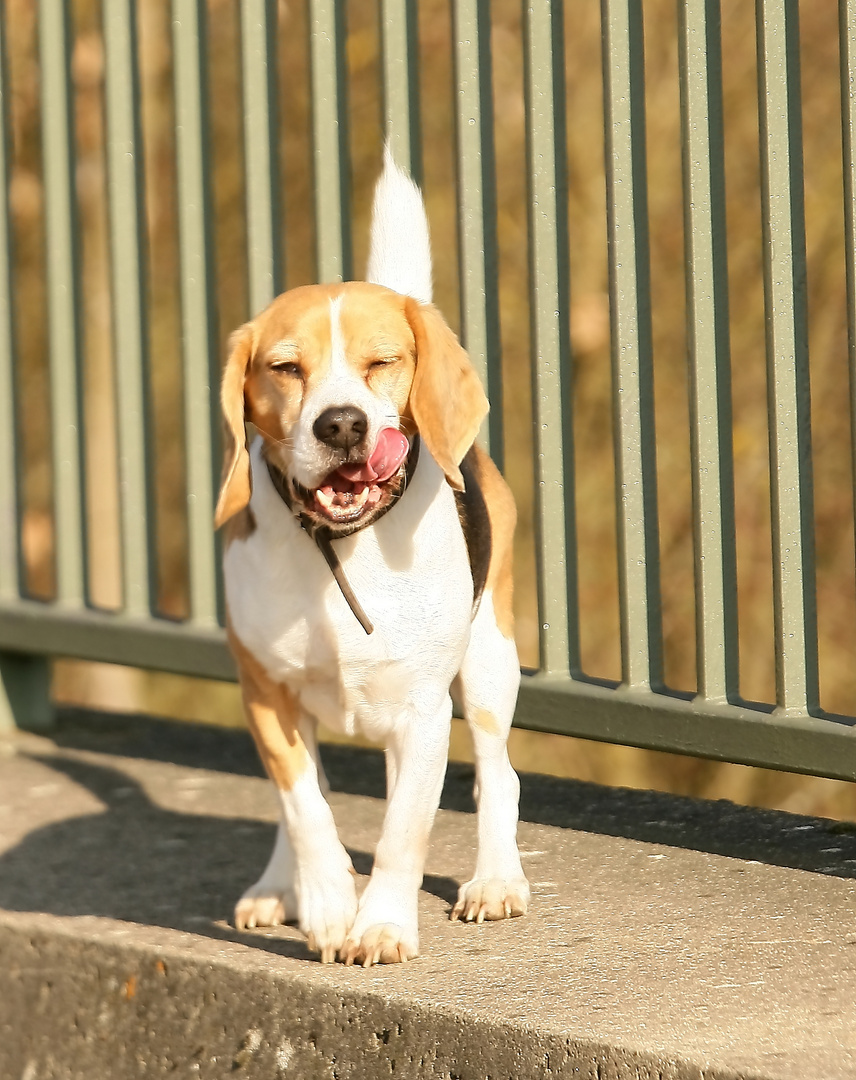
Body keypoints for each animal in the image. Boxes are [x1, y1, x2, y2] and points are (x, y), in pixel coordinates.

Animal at [215, 147, 526, 967]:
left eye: (382, 361)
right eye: (286, 368)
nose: (343, 424)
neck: (338, 547)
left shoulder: (423, 710)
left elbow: (401, 834)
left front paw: (381, 924)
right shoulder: (266, 695)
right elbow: (306, 807)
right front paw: (327, 907)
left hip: (490, 661)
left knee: (498, 773)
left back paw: (496, 880)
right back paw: (279, 887)